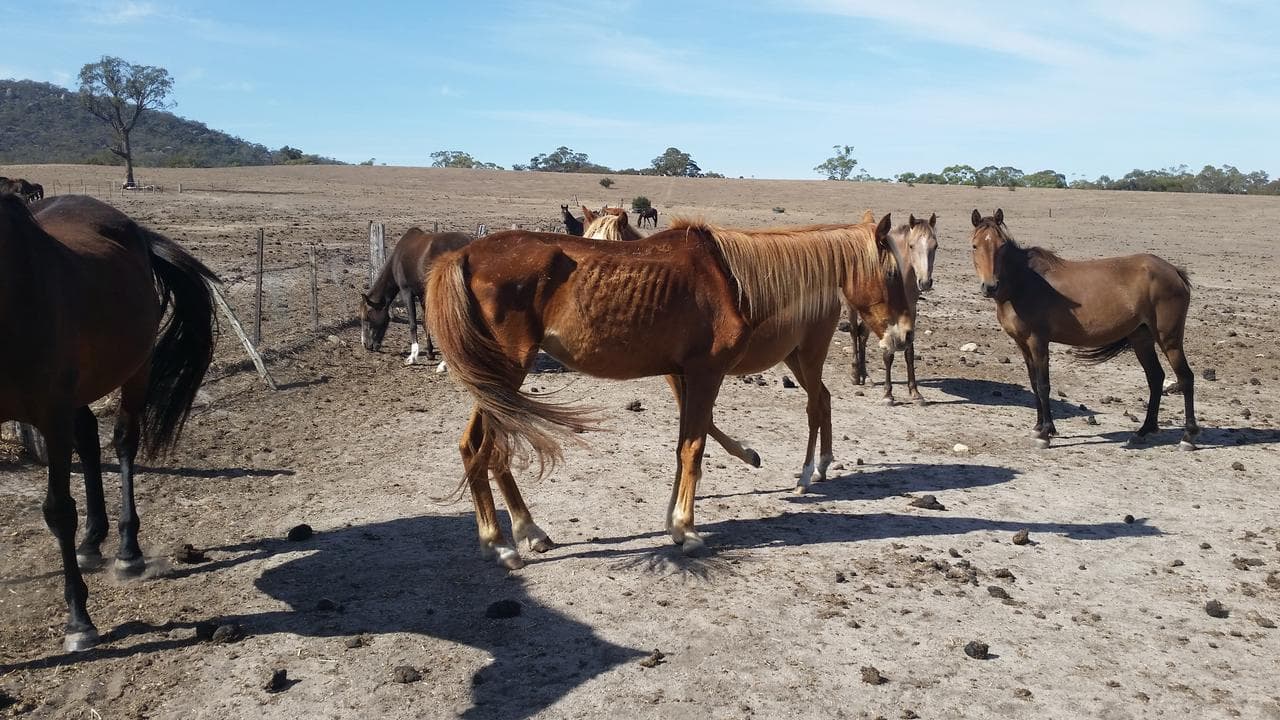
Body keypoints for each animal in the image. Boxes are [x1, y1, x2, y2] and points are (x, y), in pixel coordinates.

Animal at [0, 194, 218, 651]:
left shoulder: (51, 414)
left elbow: (59, 511)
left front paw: (79, 621)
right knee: (88, 440)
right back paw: (91, 541)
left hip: (135, 371)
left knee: (123, 442)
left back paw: (126, 550)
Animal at [360, 227, 472, 366]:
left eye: (367, 317)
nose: (366, 345)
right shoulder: (422, 294)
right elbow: (425, 322)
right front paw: (430, 353)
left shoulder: (407, 292)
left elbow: (413, 323)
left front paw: (413, 356)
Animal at [425, 216, 912, 569]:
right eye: (892, 272)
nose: (904, 336)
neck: (731, 278)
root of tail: (463, 255)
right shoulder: (705, 373)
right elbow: (694, 448)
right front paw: (687, 529)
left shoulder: (686, 375)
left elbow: (684, 445)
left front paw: (674, 521)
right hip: (504, 374)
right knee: (485, 450)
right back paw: (502, 543)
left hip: (497, 381)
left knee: (479, 448)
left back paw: (525, 532)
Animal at [853, 212, 938, 403]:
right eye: (911, 246)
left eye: (935, 246)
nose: (925, 282)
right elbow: (889, 353)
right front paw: (888, 394)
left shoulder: (910, 311)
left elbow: (909, 351)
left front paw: (915, 392)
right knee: (854, 332)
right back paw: (855, 374)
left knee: (862, 334)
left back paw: (864, 376)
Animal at [970, 208, 1198, 449]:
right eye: (975, 245)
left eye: (1001, 246)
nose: (990, 286)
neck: (1022, 283)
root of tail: (1174, 271)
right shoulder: (1022, 343)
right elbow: (1033, 383)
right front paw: (1039, 427)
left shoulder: (1038, 341)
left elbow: (1043, 384)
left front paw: (1045, 433)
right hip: (1141, 338)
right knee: (1155, 378)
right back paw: (1143, 431)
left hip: (1169, 339)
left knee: (1186, 378)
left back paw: (1188, 437)